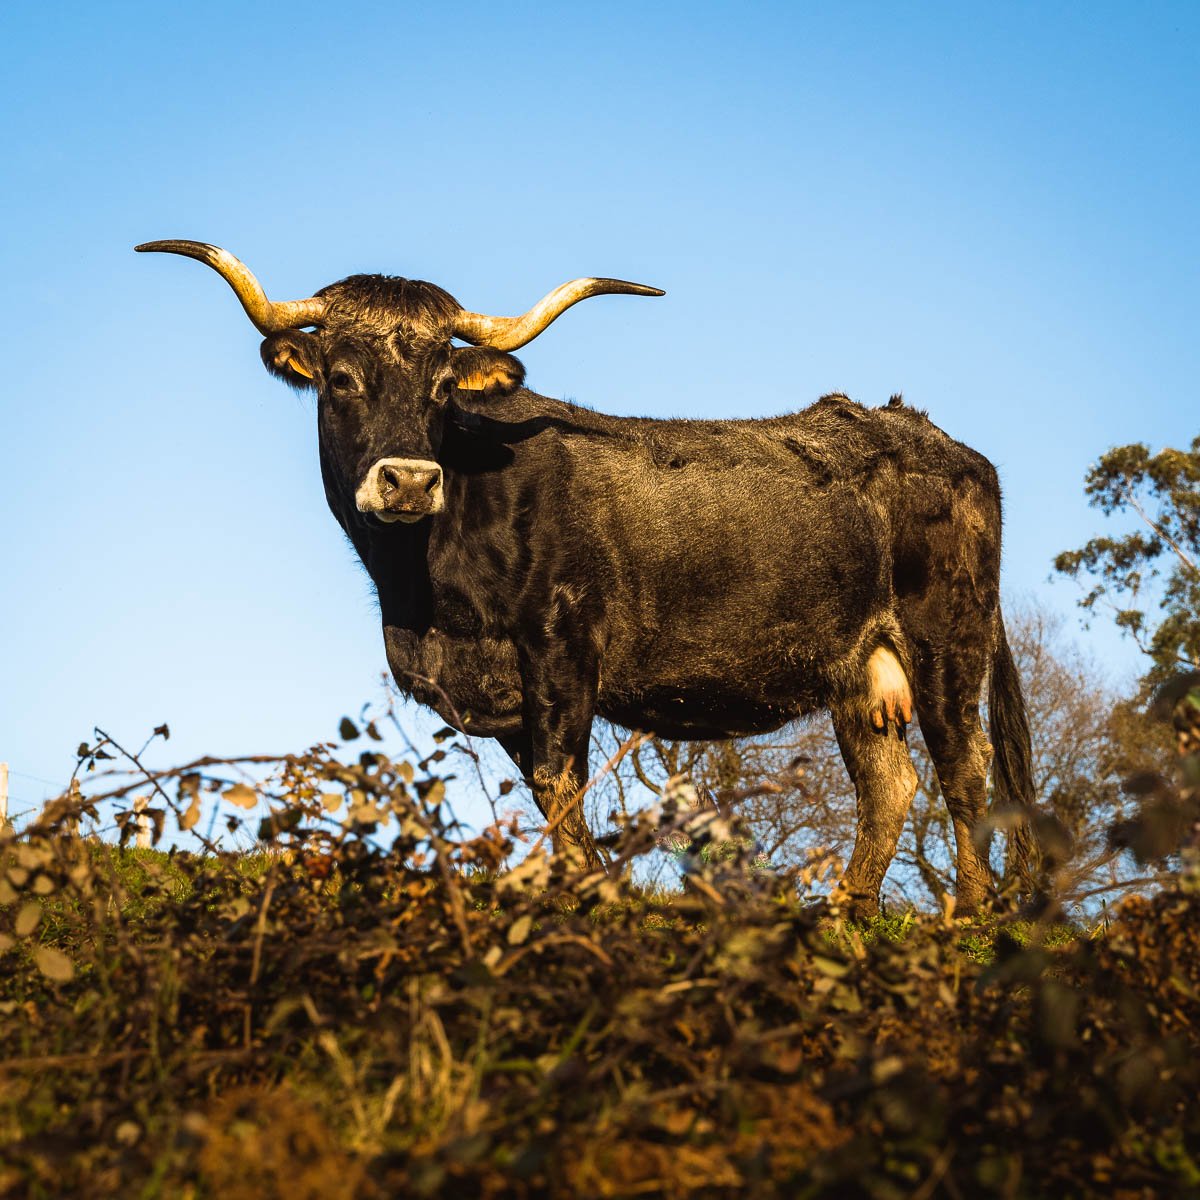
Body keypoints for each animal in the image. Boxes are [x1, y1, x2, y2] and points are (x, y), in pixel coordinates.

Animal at [136, 240, 1035, 917]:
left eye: (440, 386)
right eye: (339, 378)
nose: (409, 481)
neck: (427, 601)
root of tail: (929, 436)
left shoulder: (563, 652)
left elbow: (559, 785)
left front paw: (589, 899)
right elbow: (547, 794)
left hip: (945, 641)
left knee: (964, 766)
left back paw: (967, 914)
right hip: (860, 671)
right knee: (890, 784)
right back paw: (846, 911)